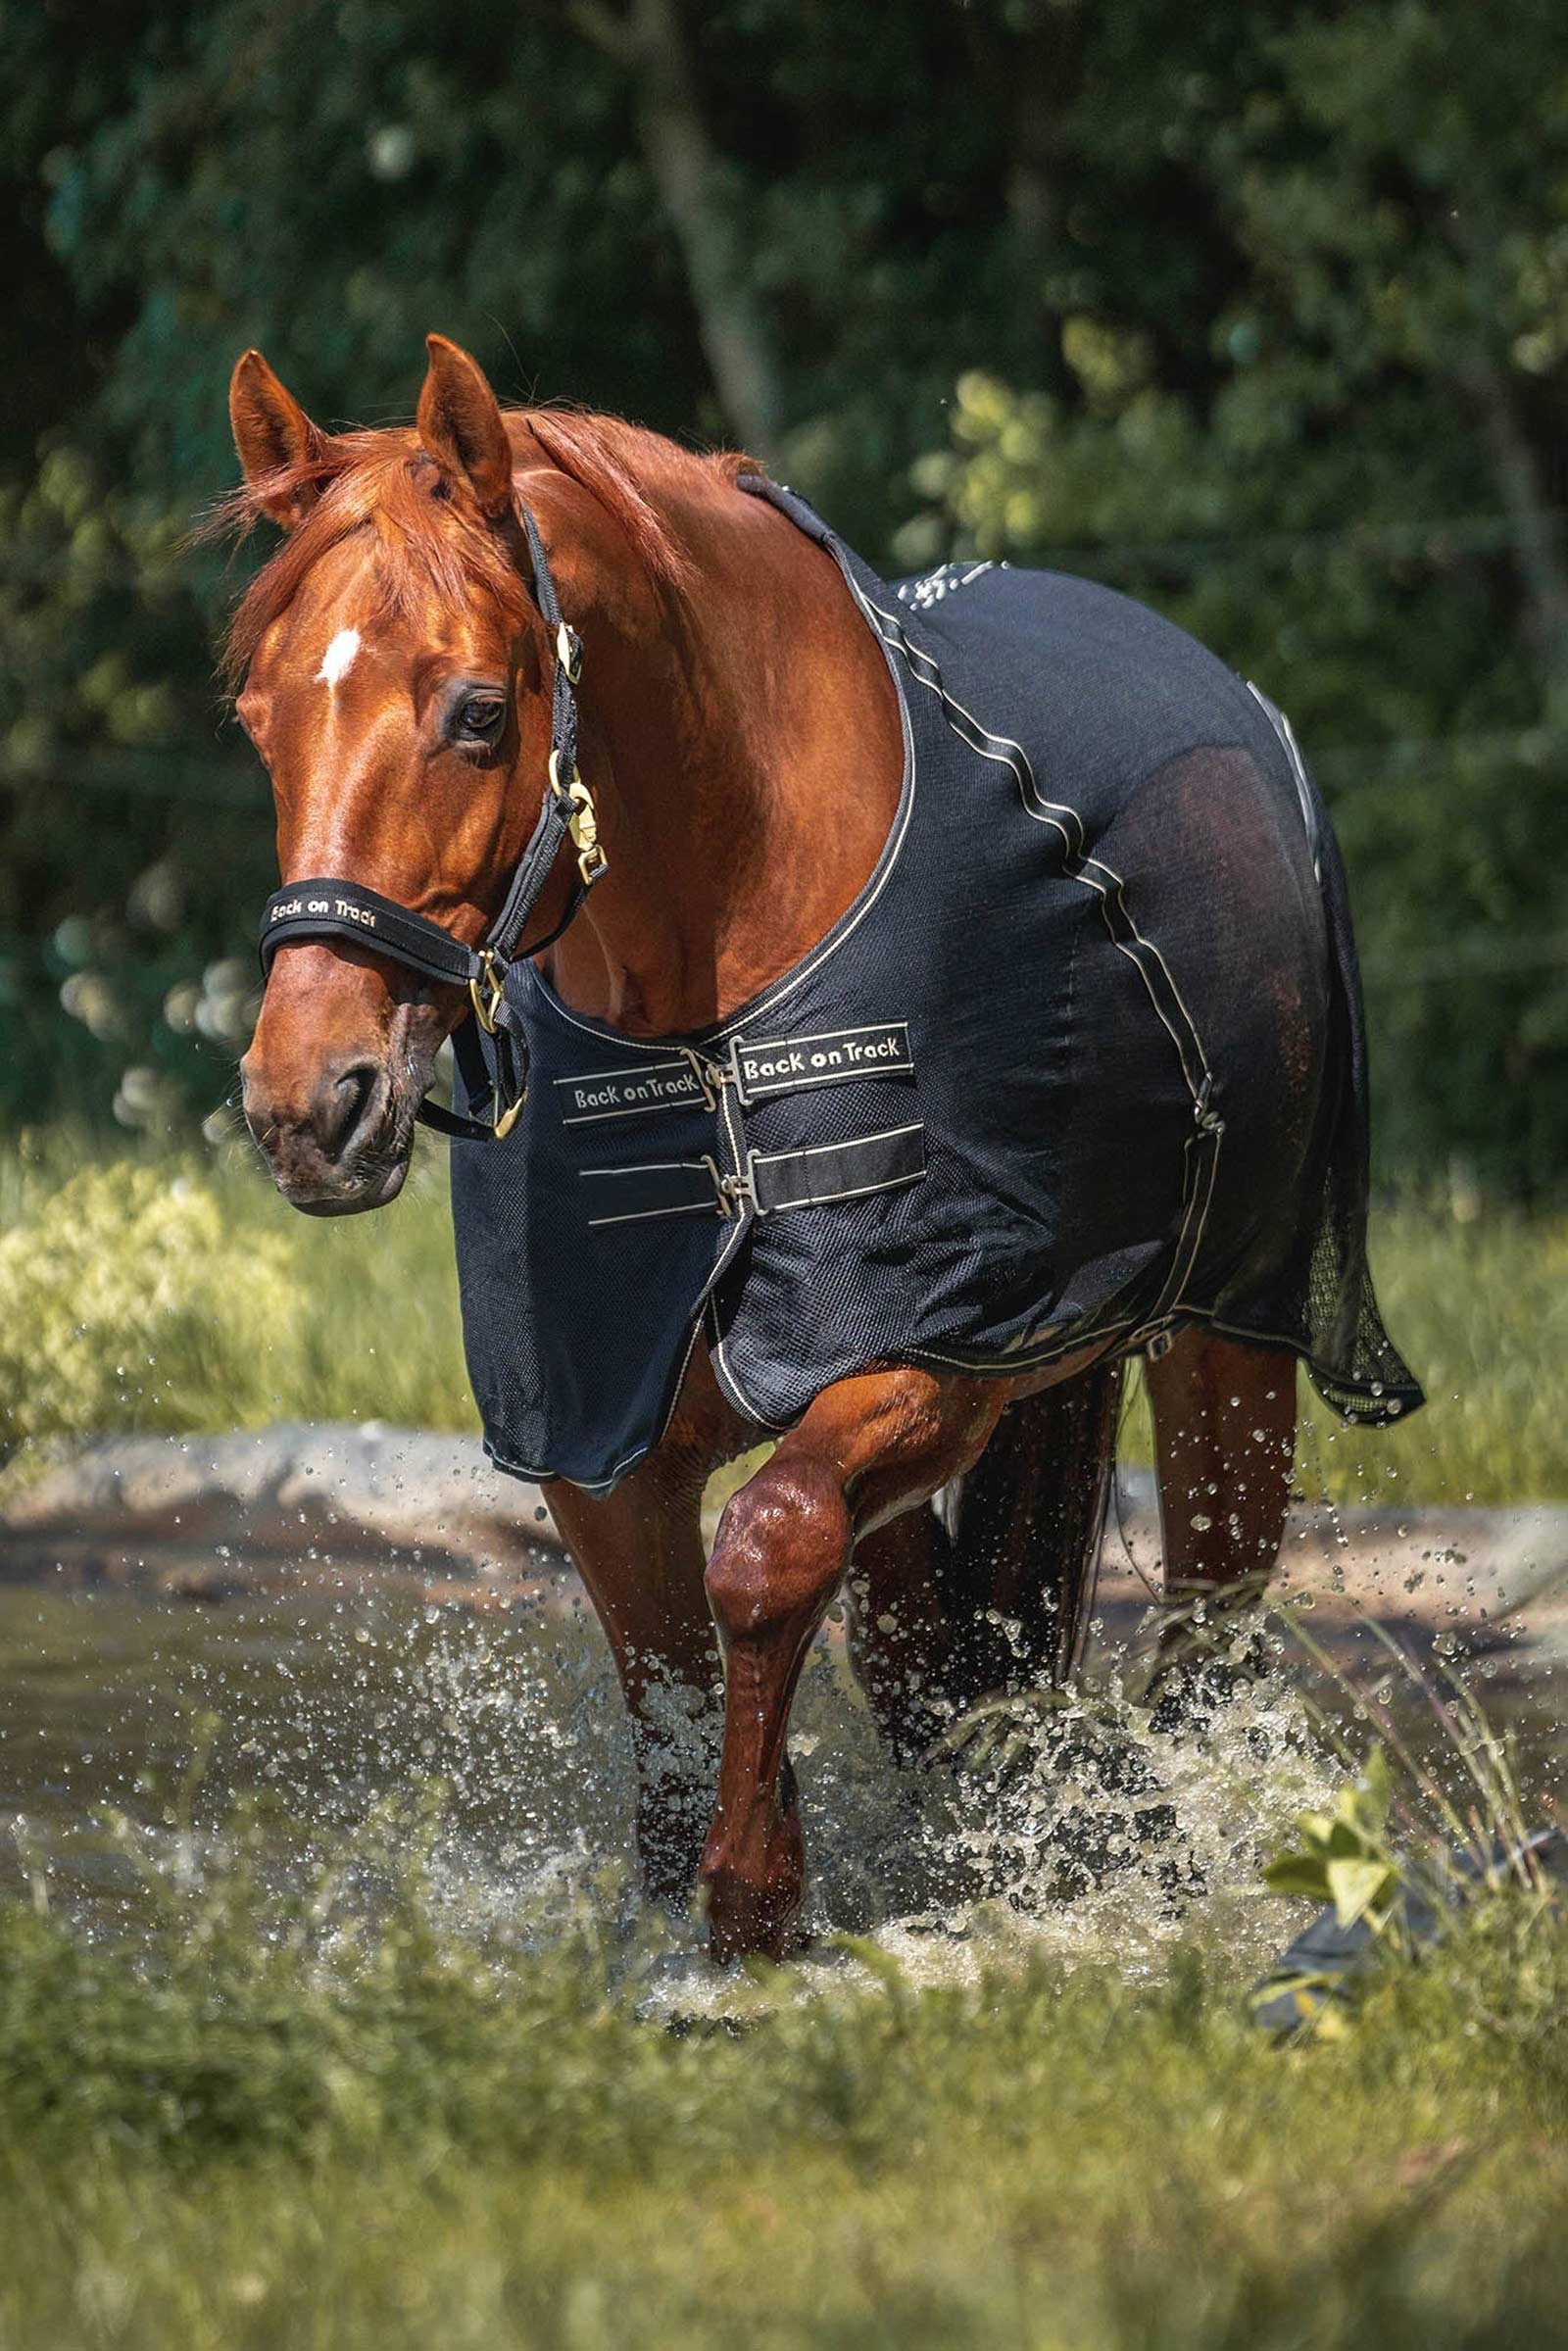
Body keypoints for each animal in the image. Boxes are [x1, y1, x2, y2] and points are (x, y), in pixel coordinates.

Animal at [224, 333, 1420, 1961]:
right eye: (259, 719)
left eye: (478, 711)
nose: (312, 1101)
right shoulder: (597, 1440)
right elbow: (680, 1689)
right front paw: (699, 1909)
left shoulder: (931, 1356)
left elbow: (770, 1545)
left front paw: (757, 1901)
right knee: (925, 1653)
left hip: (1234, 1340)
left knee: (1203, 1633)